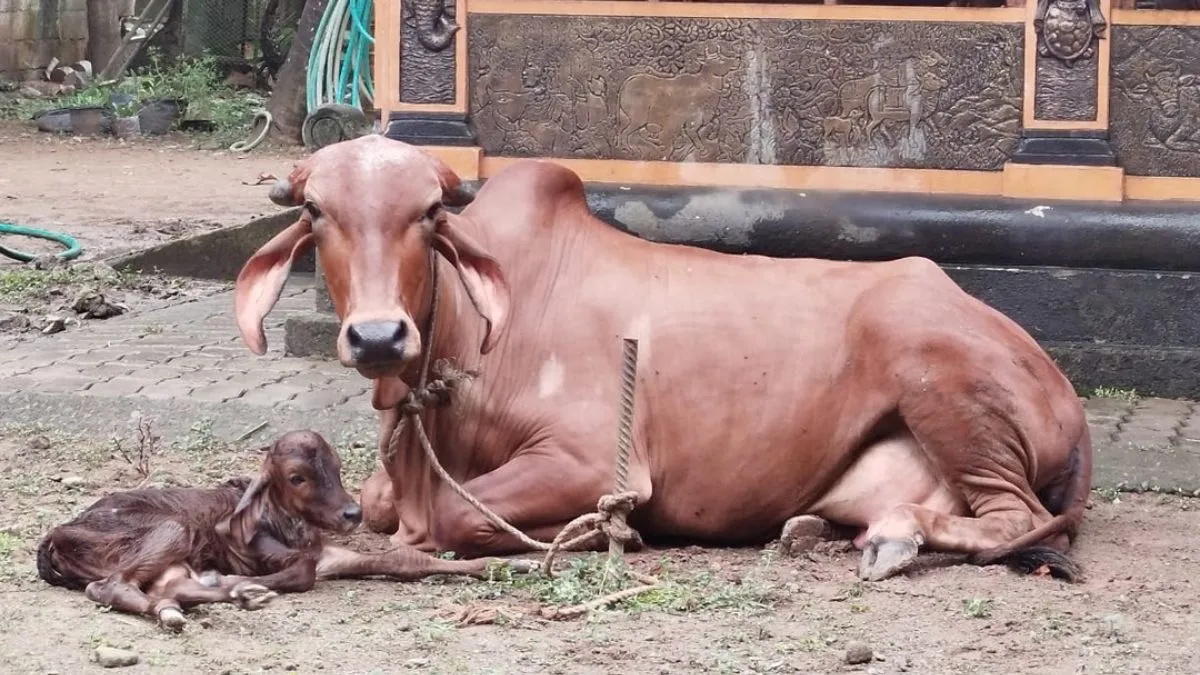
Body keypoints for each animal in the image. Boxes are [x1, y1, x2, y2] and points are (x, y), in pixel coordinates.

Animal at [36, 429, 534, 631]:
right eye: (297, 477)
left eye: (336, 465)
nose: (352, 513)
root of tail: (55, 537)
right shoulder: (273, 556)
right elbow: (300, 574)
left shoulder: (333, 554)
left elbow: (406, 559)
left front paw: (514, 565)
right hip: (168, 530)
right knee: (106, 586)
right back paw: (231, 592)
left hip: (172, 561)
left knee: (163, 590)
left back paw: (200, 604)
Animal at [233, 134, 1093, 584]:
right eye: (317, 211)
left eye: (430, 212)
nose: (379, 337)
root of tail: (1063, 389)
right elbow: (382, 503)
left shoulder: (593, 461)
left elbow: (454, 514)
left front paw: (590, 533)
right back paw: (832, 527)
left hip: (940, 377)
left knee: (1016, 514)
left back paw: (891, 541)